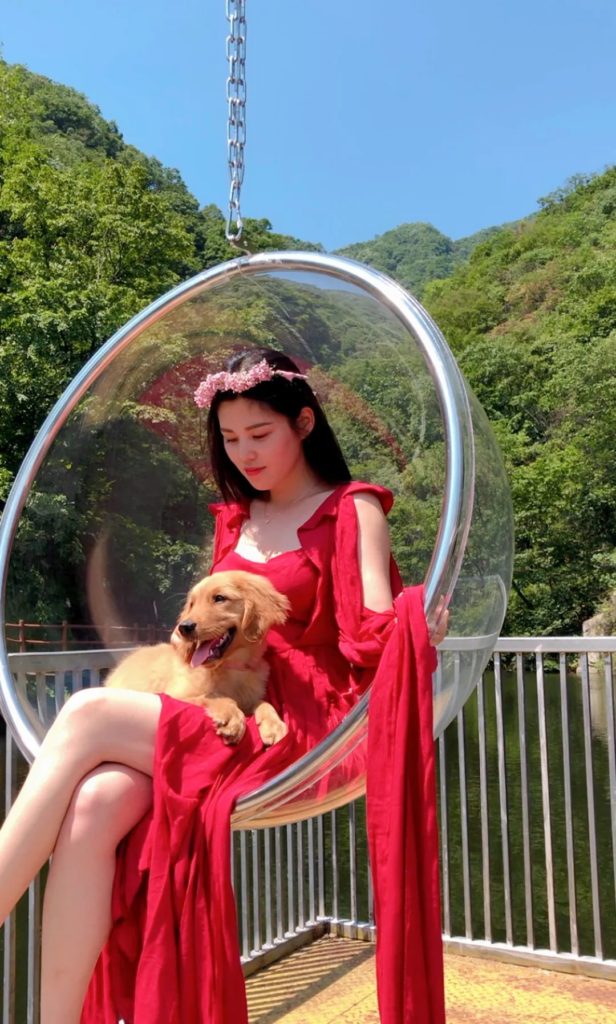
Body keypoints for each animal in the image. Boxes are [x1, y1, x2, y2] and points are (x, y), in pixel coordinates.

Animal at [105, 570, 290, 746]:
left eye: (219, 598)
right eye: (192, 604)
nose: (184, 627)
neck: (230, 666)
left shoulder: (249, 697)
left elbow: (263, 702)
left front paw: (274, 725)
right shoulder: (178, 695)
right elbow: (214, 696)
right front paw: (232, 717)